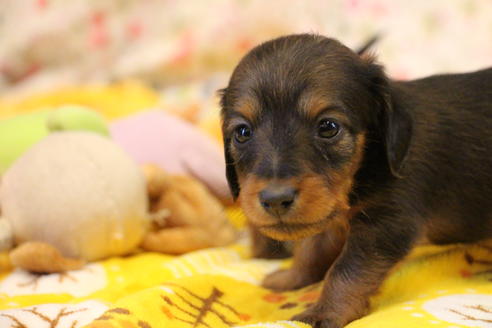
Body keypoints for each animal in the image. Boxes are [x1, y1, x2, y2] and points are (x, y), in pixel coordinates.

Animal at [220, 34, 492, 328]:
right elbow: (311, 250)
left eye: (328, 127)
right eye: (242, 132)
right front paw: (292, 278)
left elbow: (346, 271)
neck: (368, 162)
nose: (275, 199)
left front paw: (324, 312)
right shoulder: (329, 215)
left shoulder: (387, 224)